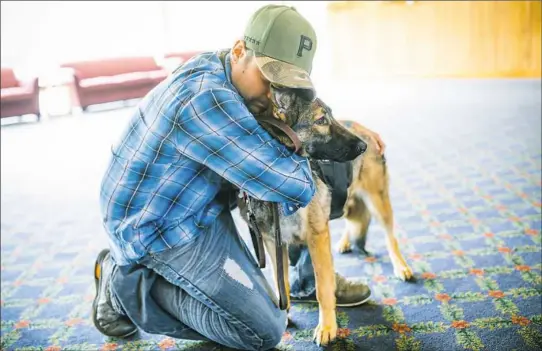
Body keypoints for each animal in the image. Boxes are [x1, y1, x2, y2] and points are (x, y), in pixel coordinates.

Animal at [240, 87, 414, 346]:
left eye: (331, 116)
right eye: (321, 121)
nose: (363, 146)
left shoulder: (317, 236)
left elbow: (323, 288)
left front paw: (327, 328)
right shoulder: (274, 242)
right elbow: (282, 285)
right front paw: (285, 316)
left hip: (378, 202)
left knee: (390, 237)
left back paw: (401, 266)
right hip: (344, 202)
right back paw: (345, 242)